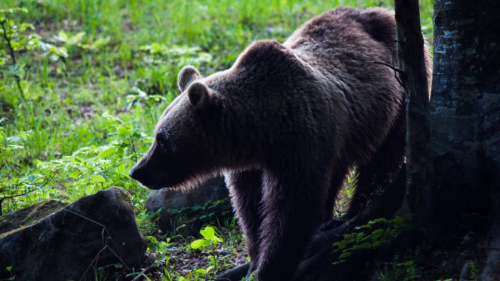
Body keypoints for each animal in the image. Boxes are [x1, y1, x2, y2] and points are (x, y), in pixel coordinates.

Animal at [128, 6, 430, 280]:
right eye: (156, 134)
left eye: (162, 139)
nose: (137, 170)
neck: (265, 129)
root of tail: (378, 10)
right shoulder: (251, 164)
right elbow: (251, 208)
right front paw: (255, 258)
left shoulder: (300, 143)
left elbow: (293, 208)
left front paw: (271, 267)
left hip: (398, 98)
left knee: (381, 162)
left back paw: (351, 214)